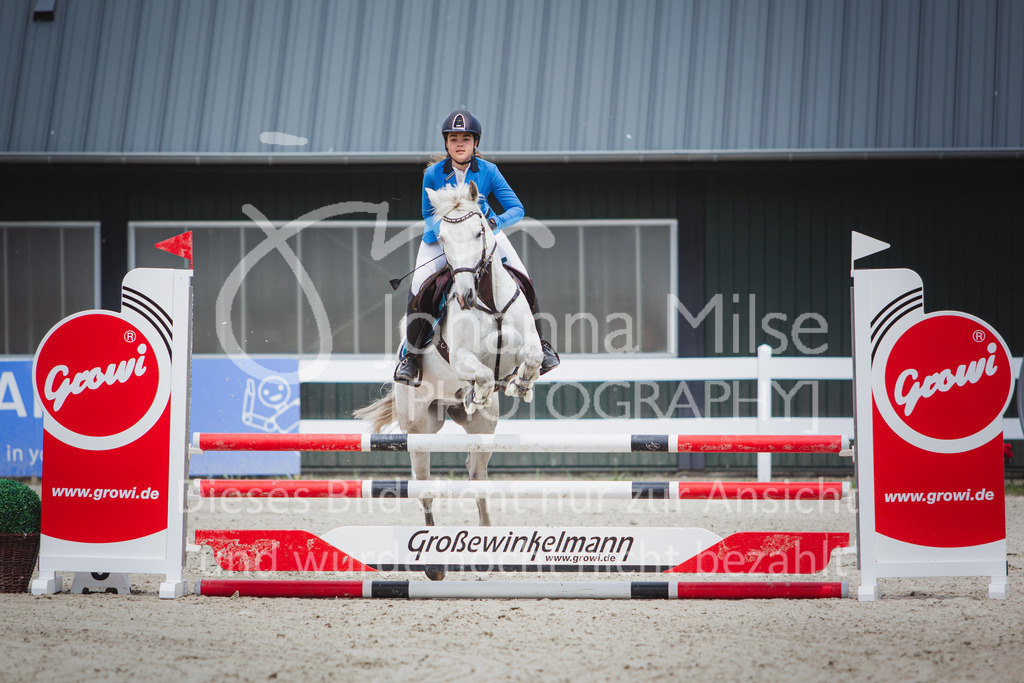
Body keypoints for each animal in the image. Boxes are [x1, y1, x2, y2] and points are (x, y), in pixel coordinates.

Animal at [355, 182, 544, 577]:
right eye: (441, 238)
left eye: (479, 232)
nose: (465, 295)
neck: (488, 301)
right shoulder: (461, 359)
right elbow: (483, 374)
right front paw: (477, 392)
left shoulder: (527, 346)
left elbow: (532, 359)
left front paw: (520, 384)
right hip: (419, 429)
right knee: (424, 486)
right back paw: (433, 564)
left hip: (484, 430)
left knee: (477, 477)